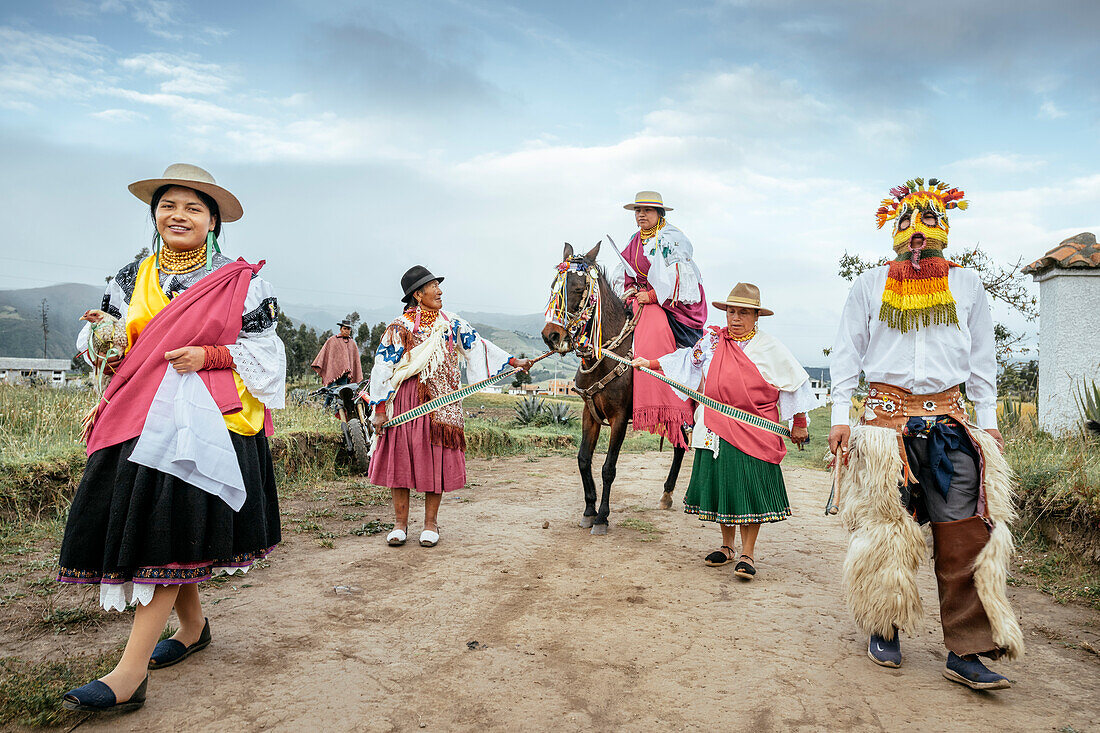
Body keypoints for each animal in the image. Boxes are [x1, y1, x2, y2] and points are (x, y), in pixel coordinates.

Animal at [543, 242, 686, 534]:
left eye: (578, 289)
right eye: (554, 287)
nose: (551, 336)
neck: (608, 355)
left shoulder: (619, 417)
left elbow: (609, 467)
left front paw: (602, 517)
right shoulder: (590, 413)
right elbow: (583, 459)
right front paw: (588, 510)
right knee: (680, 446)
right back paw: (667, 494)